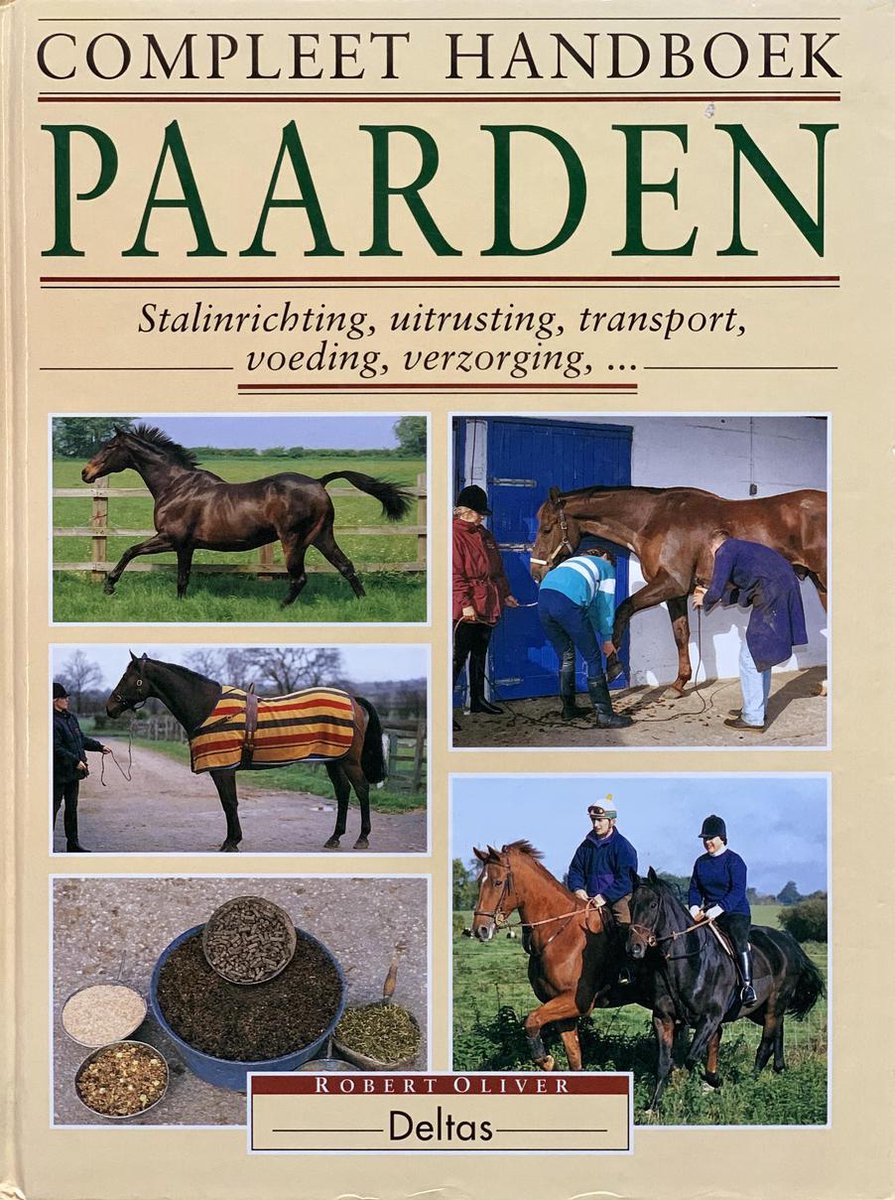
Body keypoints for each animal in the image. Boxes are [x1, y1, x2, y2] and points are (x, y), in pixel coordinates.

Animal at [81, 424, 413, 606]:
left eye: (109, 446)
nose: (86, 472)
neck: (176, 486)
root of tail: (319, 482)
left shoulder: (174, 539)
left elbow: (137, 554)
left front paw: (109, 586)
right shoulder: (183, 544)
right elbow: (175, 573)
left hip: (294, 540)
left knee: (299, 578)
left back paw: (280, 608)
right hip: (321, 536)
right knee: (345, 566)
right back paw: (363, 602)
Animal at [106, 653, 387, 852]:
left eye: (128, 678)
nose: (110, 707)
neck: (207, 708)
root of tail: (352, 699)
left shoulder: (223, 769)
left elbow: (229, 803)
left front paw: (231, 842)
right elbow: (229, 803)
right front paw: (232, 840)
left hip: (348, 760)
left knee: (361, 789)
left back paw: (362, 837)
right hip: (333, 759)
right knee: (343, 792)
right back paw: (335, 837)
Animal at [471, 842, 654, 1071]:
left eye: (497, 882)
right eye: (480, 881)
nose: (480, 930)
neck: (558, 934)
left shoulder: (575, 1002)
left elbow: (531, 1020)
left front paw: (547, 1060)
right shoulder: (562, 1012)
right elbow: (574, 1057)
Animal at [530, 485, 827, 693]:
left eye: (546, 529)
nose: (536, 572)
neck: (654, 520)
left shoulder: (671, 583)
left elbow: (624, 608)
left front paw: (613, 665)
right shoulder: (677, 592)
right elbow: (680, 634)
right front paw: (679, 683)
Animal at [627, 869, 824, 1109]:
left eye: (653, 904)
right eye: (631, 904)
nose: (634, 948)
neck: (688, 960)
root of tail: (788, 941)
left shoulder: (710, 1018)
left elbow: (691, 1058)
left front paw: (713, 1080)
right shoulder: (663, 1018)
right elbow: (664, 1062)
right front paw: (653, 1106)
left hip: (774, 1004)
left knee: (765, 1044)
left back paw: (751, 1082)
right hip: (758, 1010)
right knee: (779, 1029)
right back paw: (780, 1068)